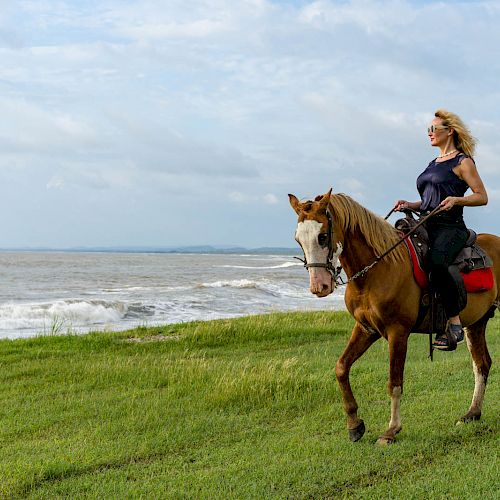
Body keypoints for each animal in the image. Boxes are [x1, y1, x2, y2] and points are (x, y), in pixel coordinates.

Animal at [290, 189, 500, 444]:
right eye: (298, 239)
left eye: (322, 237)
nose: (319, 286)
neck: (377, 270)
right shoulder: (366, 329)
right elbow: (341, 368)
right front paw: (355, 425)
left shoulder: (397, 332)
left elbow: (394, 382)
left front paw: (391, 431)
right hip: (477, 323)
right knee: (482, 364)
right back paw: (472, 413)